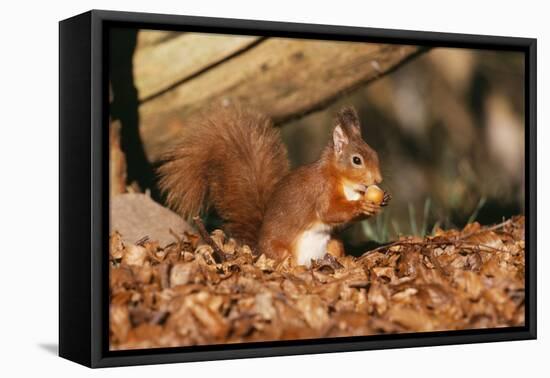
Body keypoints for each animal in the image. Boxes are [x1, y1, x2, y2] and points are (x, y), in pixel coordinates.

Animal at [158, 105, 392, 268]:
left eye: (375, 153)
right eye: (356, 160)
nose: (378, 180)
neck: (345, 183)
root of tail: (258, 250)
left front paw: (382, 200)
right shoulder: (321, 190)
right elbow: (329, 211)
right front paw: (362, 205)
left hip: (333, 244)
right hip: (281, 251)